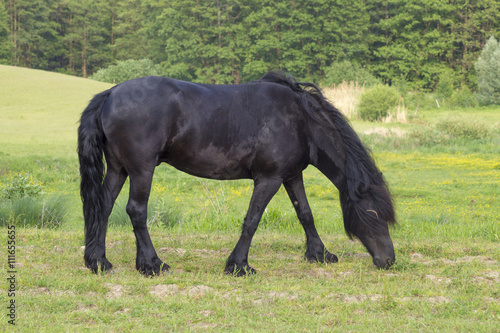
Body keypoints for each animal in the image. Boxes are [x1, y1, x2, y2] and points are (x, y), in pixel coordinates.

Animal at [78, 71, 396, 276]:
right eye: (374, 214)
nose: (389, 260)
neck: (301, 120)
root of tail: (111, 93)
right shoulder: (269, 179)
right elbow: (252, 220)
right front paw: (239, 265)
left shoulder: (291, 176)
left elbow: (305, 214)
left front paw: (320, 254)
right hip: (141, 169)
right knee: (136, 211)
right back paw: (152, 264)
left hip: (119, 169)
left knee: (103, 207)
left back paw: (99, 263)